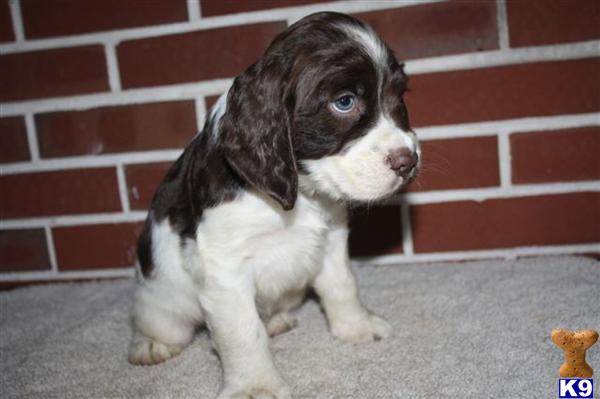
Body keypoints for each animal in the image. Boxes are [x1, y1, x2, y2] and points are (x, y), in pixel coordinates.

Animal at [129, 11, 420, 399]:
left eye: (398, 95)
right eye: (344, 102)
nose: (408, 161)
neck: (301, 196)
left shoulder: (330, 238)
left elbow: (342, 285)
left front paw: (357, 327)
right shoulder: (225, 267)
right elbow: (241, 332)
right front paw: (255, 385)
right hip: (163, 300)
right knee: (159, 322)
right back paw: (150, 344)